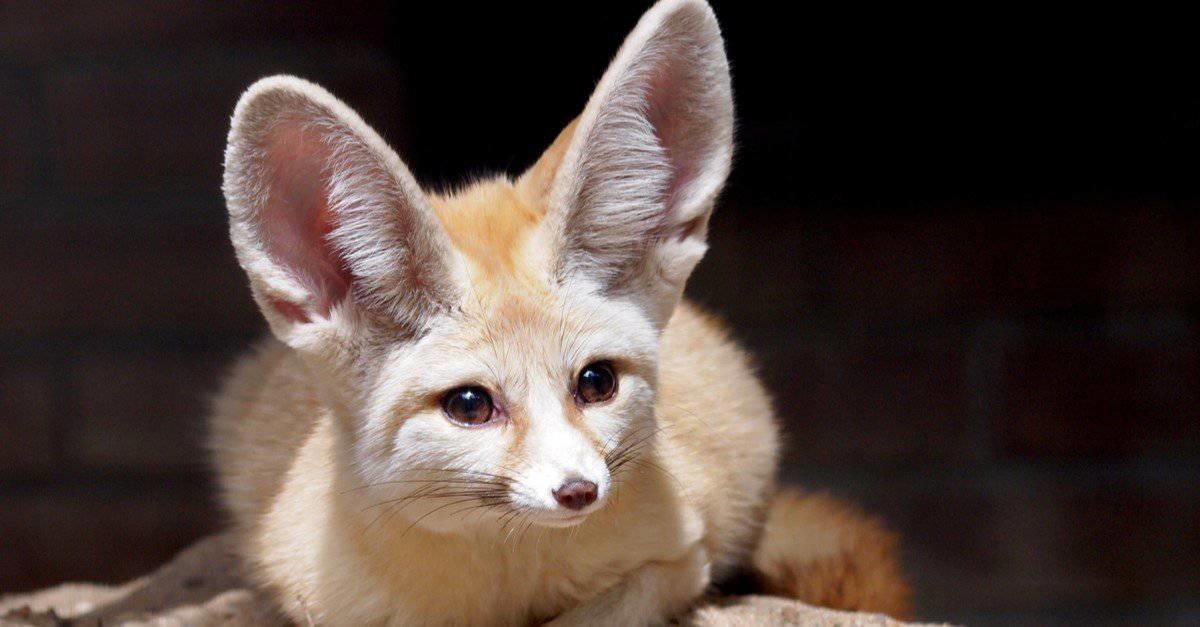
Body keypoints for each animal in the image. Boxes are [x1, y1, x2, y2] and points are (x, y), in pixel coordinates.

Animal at [210, 0, 910, 624]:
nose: (580, 491)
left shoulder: (684, 557)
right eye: (470, 405)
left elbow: (600, 612)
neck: (507, 590)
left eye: (596, 382)